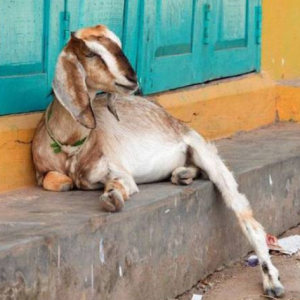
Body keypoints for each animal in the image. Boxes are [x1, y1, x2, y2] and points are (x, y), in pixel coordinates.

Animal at [32, 24, 284, 298]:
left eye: (117, 43)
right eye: (90, 53)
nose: (132, 79)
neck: (70, 147)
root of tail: (170, 117)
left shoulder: (117, 170)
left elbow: (119, 184)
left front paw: (112, 197)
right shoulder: (42, 171)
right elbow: (52, 180)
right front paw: (67, 183)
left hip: (203, 149)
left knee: (244, 213)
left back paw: (272, 281)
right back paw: (182, 175)